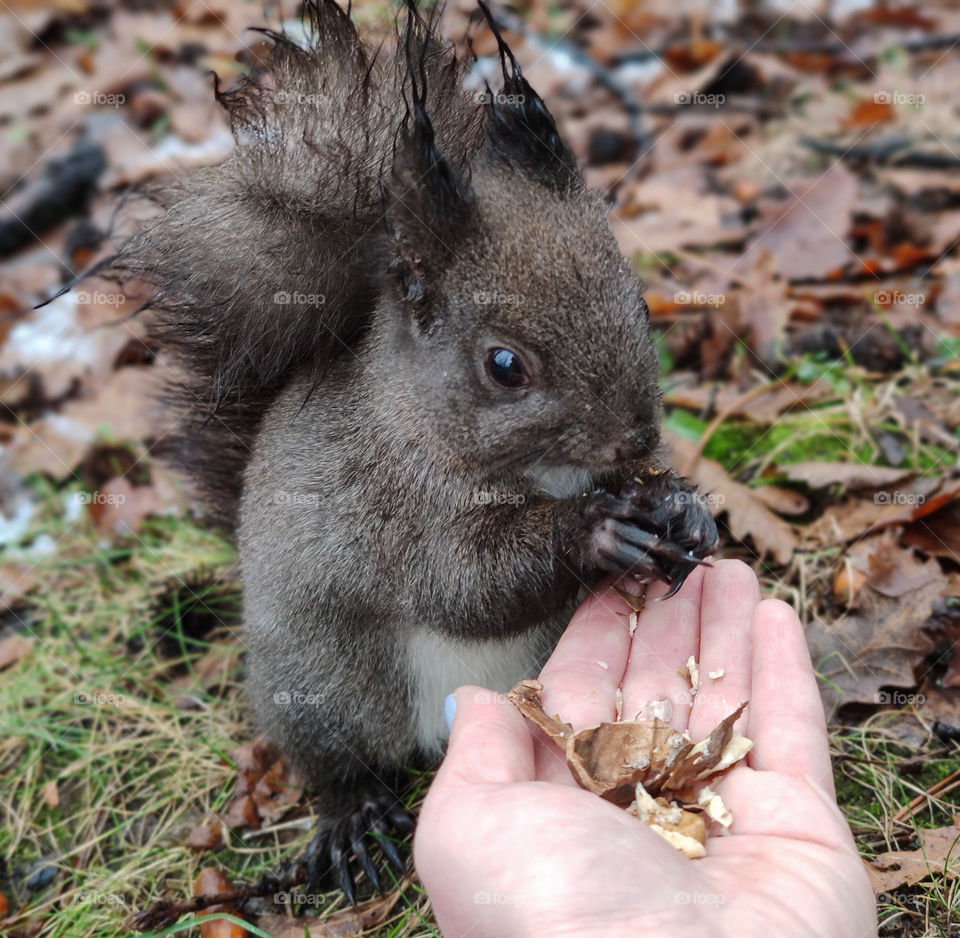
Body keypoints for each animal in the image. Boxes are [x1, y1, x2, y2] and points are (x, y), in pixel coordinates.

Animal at [99, 0, 720, 900]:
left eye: (638, 300)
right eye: (505, 365)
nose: (636, 437)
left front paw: (681, 507)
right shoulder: (387, 497)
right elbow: (461, 583)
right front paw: (595, 530)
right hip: (325, 681)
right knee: (336, 760)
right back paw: (353, 818)